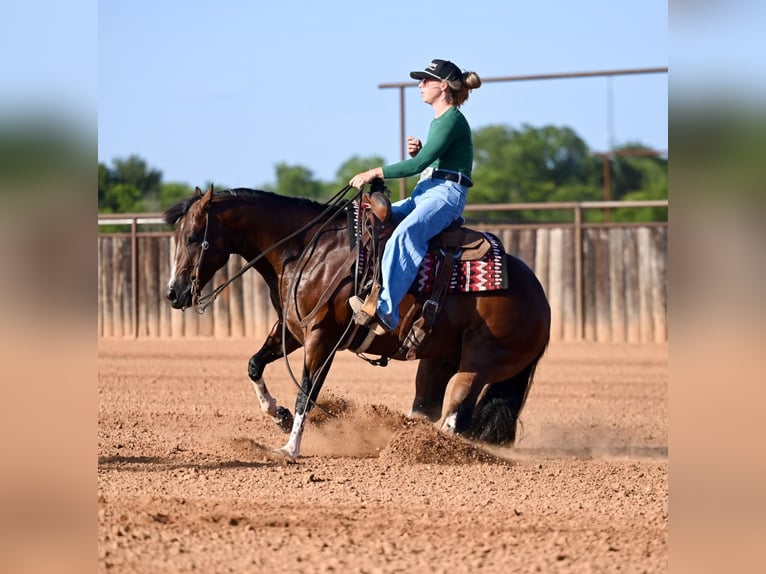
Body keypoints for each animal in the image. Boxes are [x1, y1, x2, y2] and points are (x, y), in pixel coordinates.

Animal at [164, 185, 551, 459]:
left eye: (193, 238)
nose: (173, 293)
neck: (306, 249)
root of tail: (541, 300)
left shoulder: (322, 337)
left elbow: (307, 392)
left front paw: (290, 448)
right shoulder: (292, 330)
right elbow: (254, 365)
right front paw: (278, 415)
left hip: (478, 364)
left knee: (455, 418)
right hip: (438, 361)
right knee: (427, 408)